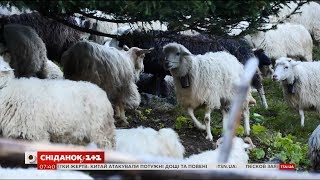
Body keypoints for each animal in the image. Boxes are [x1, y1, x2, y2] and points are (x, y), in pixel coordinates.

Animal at [112, 30, 270, 108]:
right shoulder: (160, 71)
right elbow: (158, 83)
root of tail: (246, 46)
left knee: (258, 85)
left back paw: (265, 105)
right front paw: (159, 95)